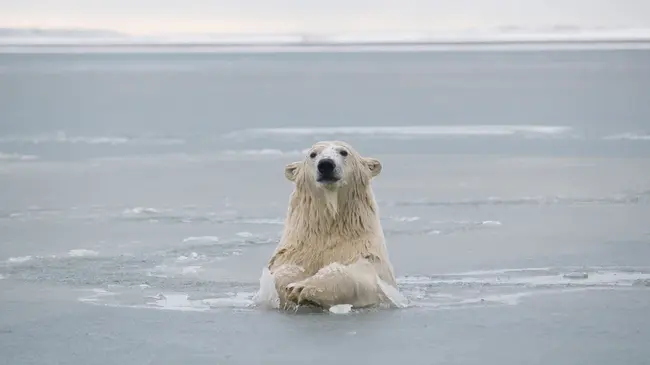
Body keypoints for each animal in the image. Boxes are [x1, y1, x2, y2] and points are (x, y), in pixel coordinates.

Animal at [262, 139, 394, 310]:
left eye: (343, 152)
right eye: (313, 154)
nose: (326, 164)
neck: (329, 227)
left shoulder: (366, 252)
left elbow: (359, 274)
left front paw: (301, 288)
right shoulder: (296, 248)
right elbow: (283, 270)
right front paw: (288, 288)